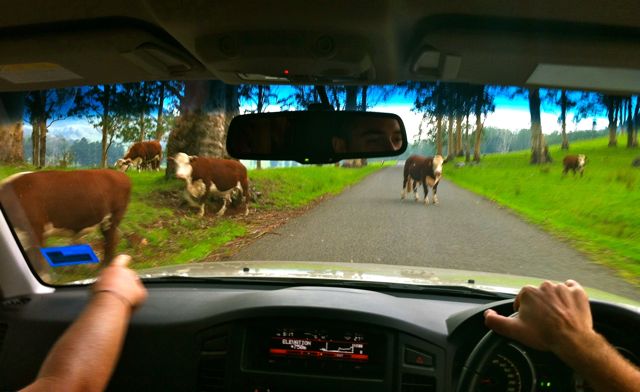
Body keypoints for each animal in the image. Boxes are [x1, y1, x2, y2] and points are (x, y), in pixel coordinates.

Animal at [0, 169, 131, 276]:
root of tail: (120, 174)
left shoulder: (35, 230)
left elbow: (38, 260)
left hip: (112, 218)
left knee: (110, 241)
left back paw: (103, 269)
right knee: (113, 239)